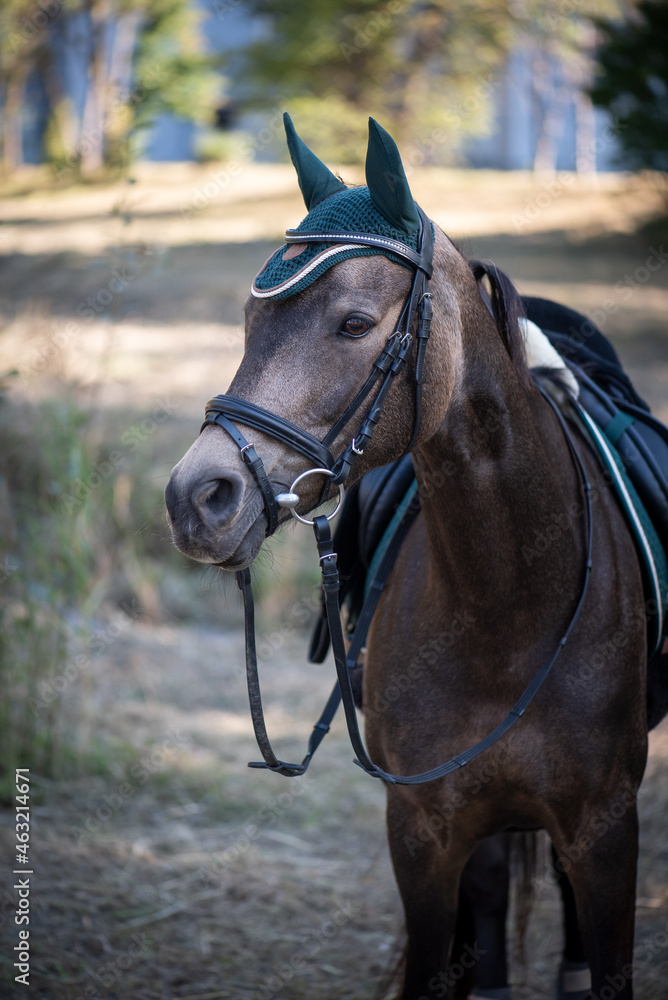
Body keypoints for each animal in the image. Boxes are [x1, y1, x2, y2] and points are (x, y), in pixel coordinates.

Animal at [167, 115, 652, 992]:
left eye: (356, 324)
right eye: (251, 322)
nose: (198, 497)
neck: (509, 603)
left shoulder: (606, 828)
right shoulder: (423, 831)